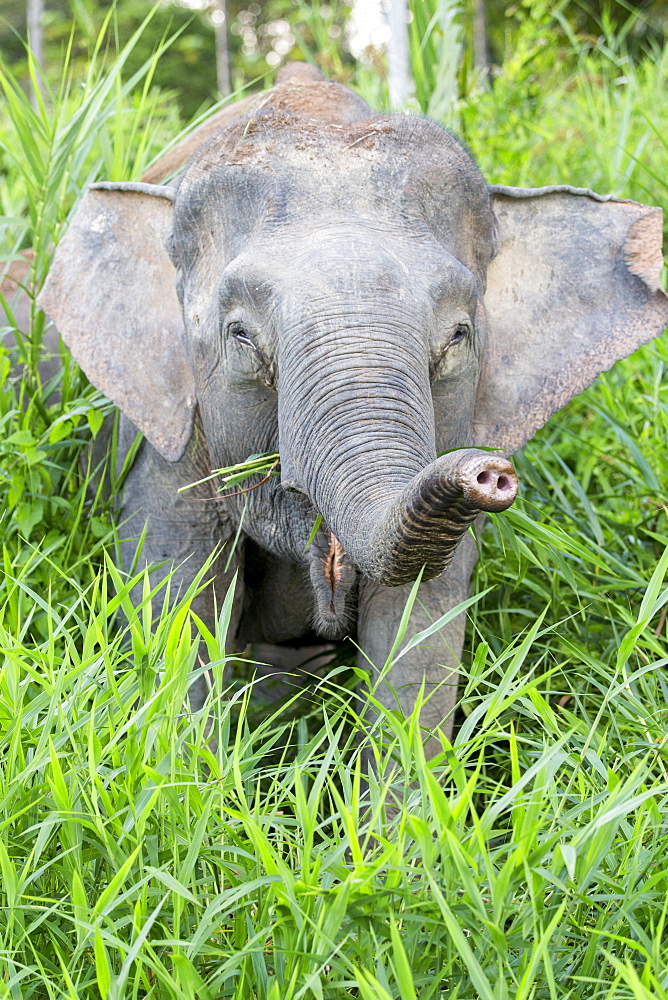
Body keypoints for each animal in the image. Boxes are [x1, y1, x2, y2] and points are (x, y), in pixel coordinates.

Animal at [40, 64, 668, 744]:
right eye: (241, 336)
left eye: (458, 336)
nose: (489, 473)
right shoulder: (166, 435)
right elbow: (177, 601)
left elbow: (420, 624)